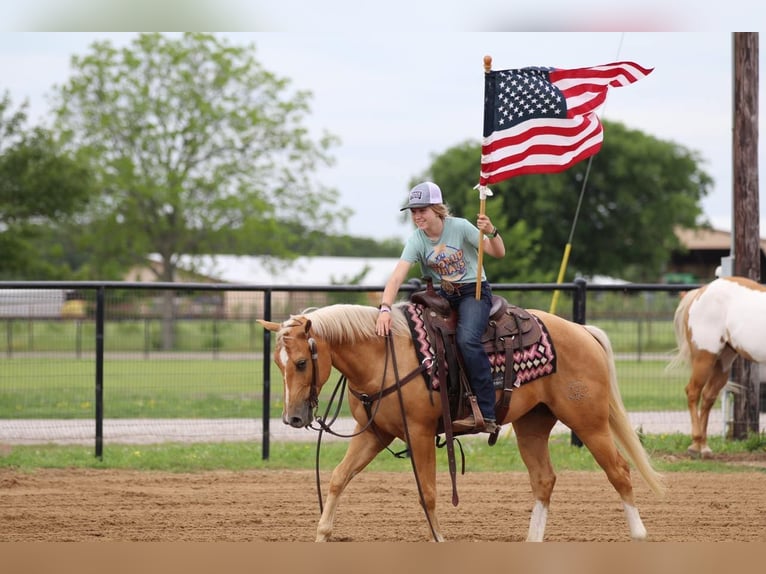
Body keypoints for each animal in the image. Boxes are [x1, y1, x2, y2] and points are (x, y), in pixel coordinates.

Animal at [258, 304, 664, 544]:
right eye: (278, 363)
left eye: (300, 363)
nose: (292, 418)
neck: (385, 358)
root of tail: (582, 331)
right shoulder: (376, 433)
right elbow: (339, 477)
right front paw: (322, 534)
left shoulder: (420, 433)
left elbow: (428, 492)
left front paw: (439, 541)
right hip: (533, 424)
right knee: (544, 480)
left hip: (589, 422)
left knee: (619, 471)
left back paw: (639, 535)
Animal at [672, 276, 766, 462]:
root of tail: (701, 291)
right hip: (704, 359)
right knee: (693, 392)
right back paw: (695, 446)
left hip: (723, 362)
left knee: (708, 397)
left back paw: (704, 447)